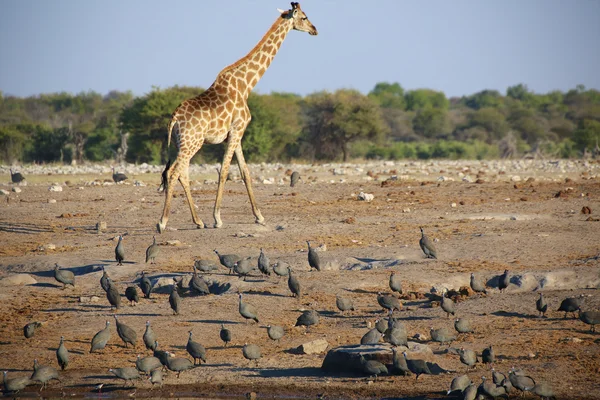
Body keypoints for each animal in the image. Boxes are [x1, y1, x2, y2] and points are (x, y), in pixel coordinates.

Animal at [158, 3, 318, 233]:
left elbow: (245, 172)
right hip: (192, 143)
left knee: (181, 173)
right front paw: (217, 218)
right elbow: (224, 171)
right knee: (173, 173)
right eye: (304, 17)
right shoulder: (236, 130)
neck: (246, 85)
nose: (315, 29)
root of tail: (174, 118)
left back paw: (198, 221)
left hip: (182, 143)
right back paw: (162, 222)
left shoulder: (237, 133)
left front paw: (259, 216)